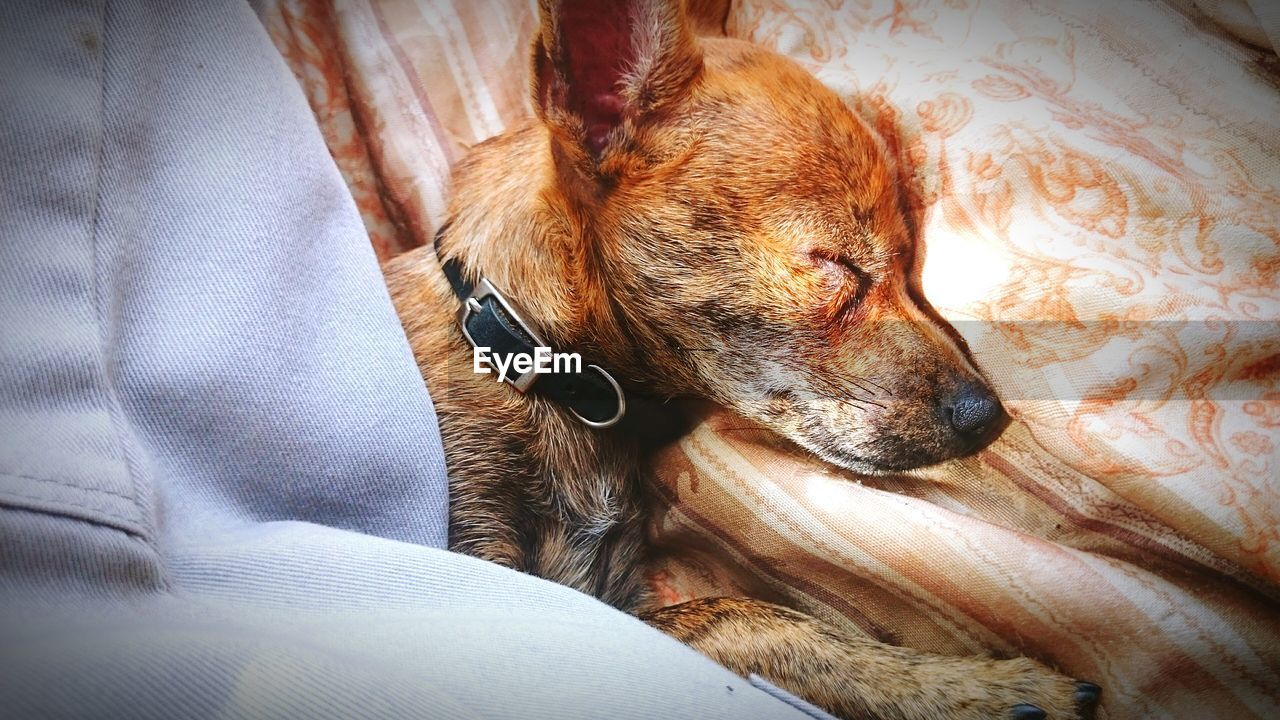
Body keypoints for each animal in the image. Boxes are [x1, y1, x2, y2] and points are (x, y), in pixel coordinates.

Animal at [378, 2, 1100, 712]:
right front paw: (975, 690)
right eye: (835, 262)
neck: (528, 361)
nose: (990, 415)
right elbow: (748, 617)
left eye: (908, 267)